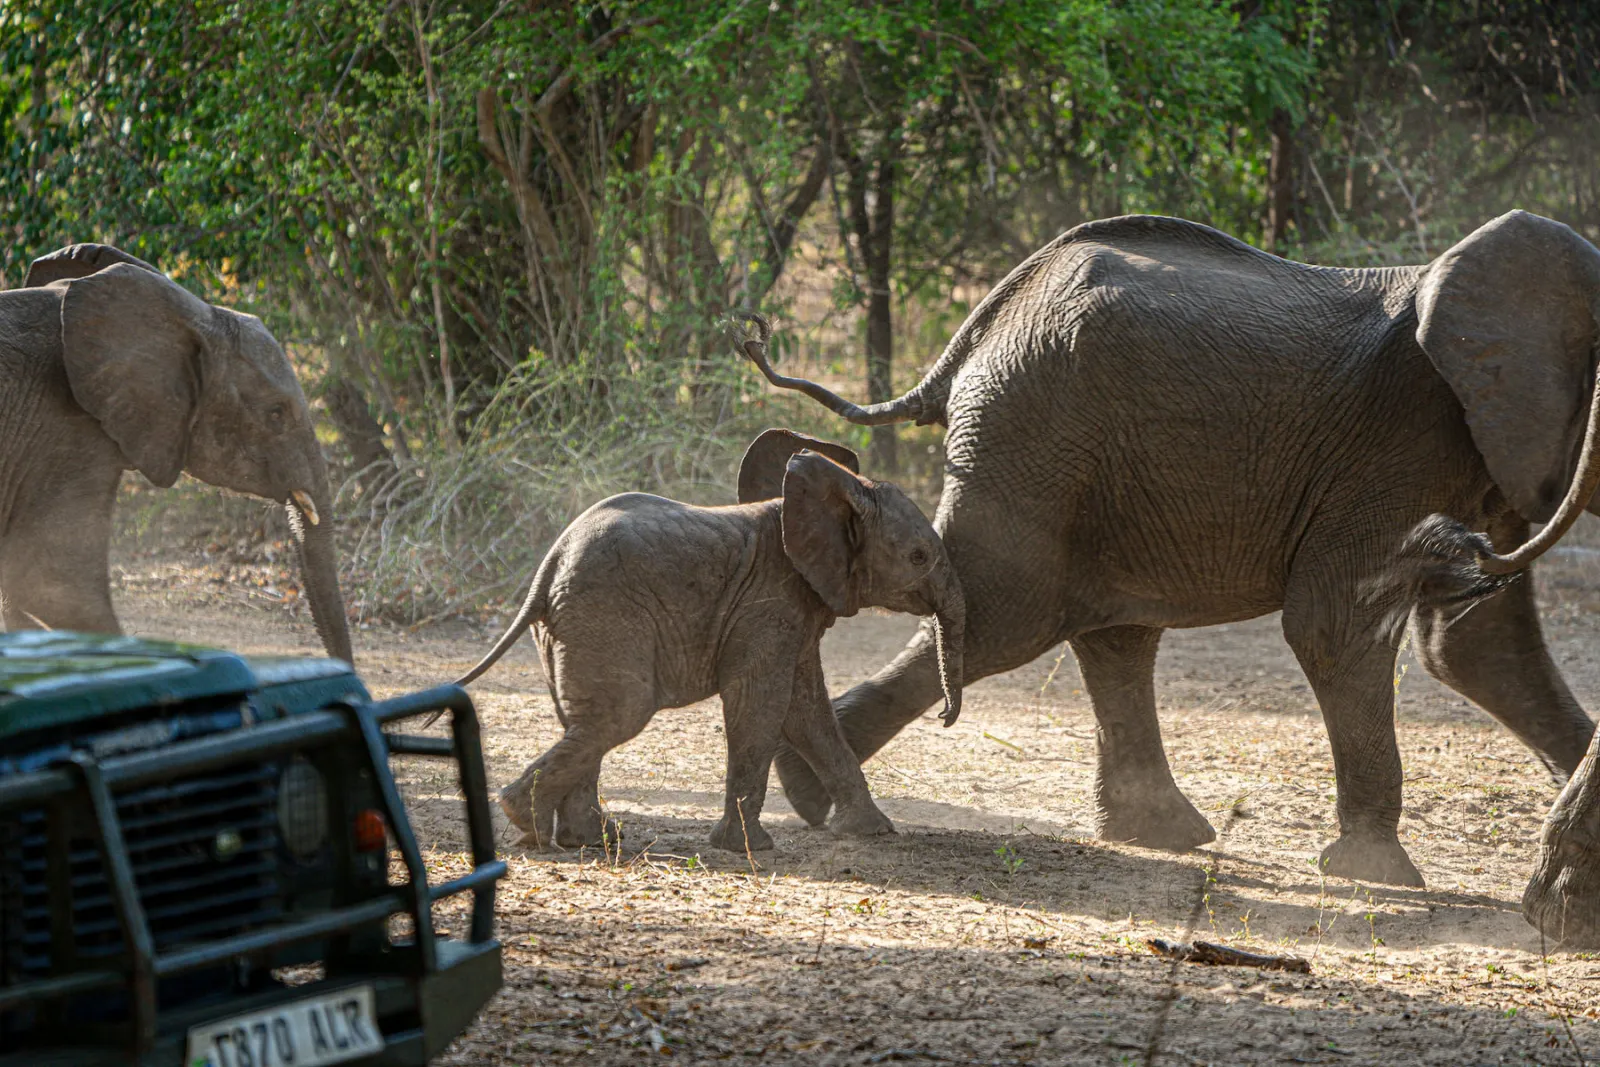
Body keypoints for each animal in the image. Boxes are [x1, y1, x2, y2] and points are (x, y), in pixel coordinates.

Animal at [449, 429, 965, 852]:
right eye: (919, 556)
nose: (944, 717)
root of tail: (549, 564)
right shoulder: (769, 599)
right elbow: (760, 703)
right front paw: (749, 848)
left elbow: (806, 710)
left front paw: (872, 832)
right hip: (603, 614)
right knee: (619, 715)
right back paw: (532, 824)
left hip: (570, 623)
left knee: (584, 720)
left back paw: (588, 839)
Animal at [737, 209, 1600, 887]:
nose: (1465, 556)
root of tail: (984, 322)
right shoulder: (1398, 442)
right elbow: (1336, 621)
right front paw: (1377, 873)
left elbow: (1479, 646)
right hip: (1033, 432)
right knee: (1000, 615)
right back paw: (812, 791)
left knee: (1110, 632)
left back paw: (1157, 832)